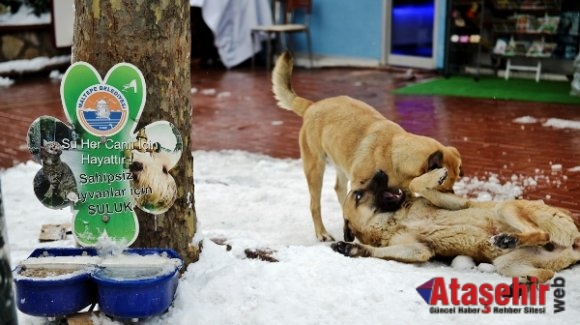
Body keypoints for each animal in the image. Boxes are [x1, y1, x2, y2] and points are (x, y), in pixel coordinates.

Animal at [270, 52, 462, 240]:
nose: (453, 200)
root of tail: (312, 105)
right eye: (444, 188)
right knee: (314, 204)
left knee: (338, 188)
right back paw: (322, 233)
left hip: (340, 161)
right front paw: (435, 176)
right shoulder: (361, 186)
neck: (393, 153)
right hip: (315, 169)